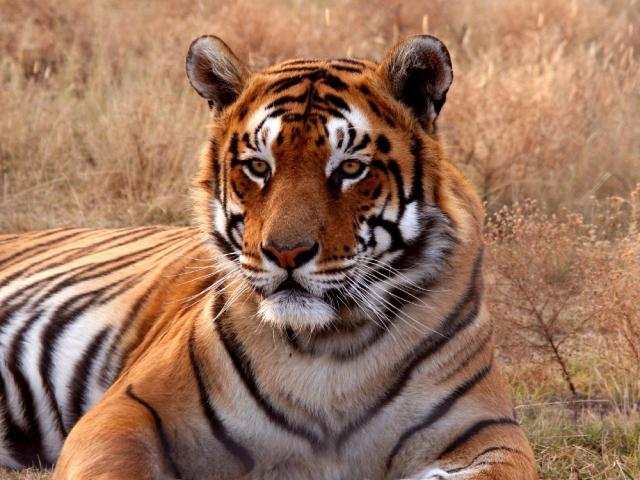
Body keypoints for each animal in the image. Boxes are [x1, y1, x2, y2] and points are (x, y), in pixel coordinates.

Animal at [0, 34, 537, 479]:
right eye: (259, 166)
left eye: (350, 169)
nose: (286, 253)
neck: (330, 350)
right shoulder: (123, 411)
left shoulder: (488, 432)